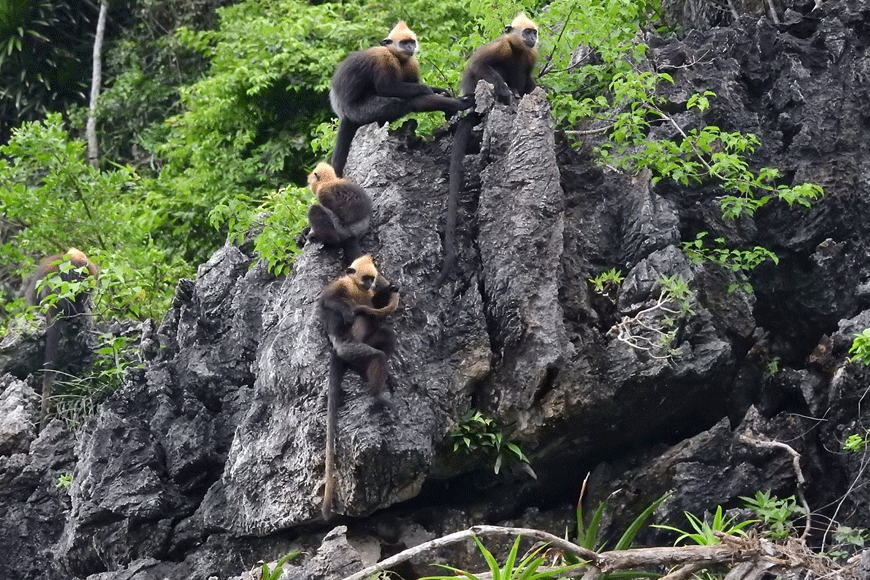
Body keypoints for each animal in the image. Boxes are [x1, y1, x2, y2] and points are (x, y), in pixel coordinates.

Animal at [320, 256, 402, 520]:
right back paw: (377, 394)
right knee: (374, 354)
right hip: (351, 349)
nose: (369, 284)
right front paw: (347, 310)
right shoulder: (340, 285)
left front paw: (390, 289)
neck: (358, 288)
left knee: (384, 336)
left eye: (371, 278)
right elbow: (326, 301)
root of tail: (339, 352)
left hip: (366, 344)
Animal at [330, 20, 474, 177]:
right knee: (407, 102)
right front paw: (429, 91)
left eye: (411, 42)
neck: (397, 57)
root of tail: (345, 113)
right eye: (404, 43)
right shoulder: (384, 58)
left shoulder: (411, 62)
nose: (411, 47)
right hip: (362, 112)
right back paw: (458, 105)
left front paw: (441, 91)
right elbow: (388, 89)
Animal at [440, 13, 540, 286]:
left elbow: (528, 79)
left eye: (534, 32)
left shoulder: (530, 56)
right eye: (527, 32)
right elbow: (480, 65)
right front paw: (503, 88)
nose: (532, 37)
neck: (518, 50)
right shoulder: (500, 47)